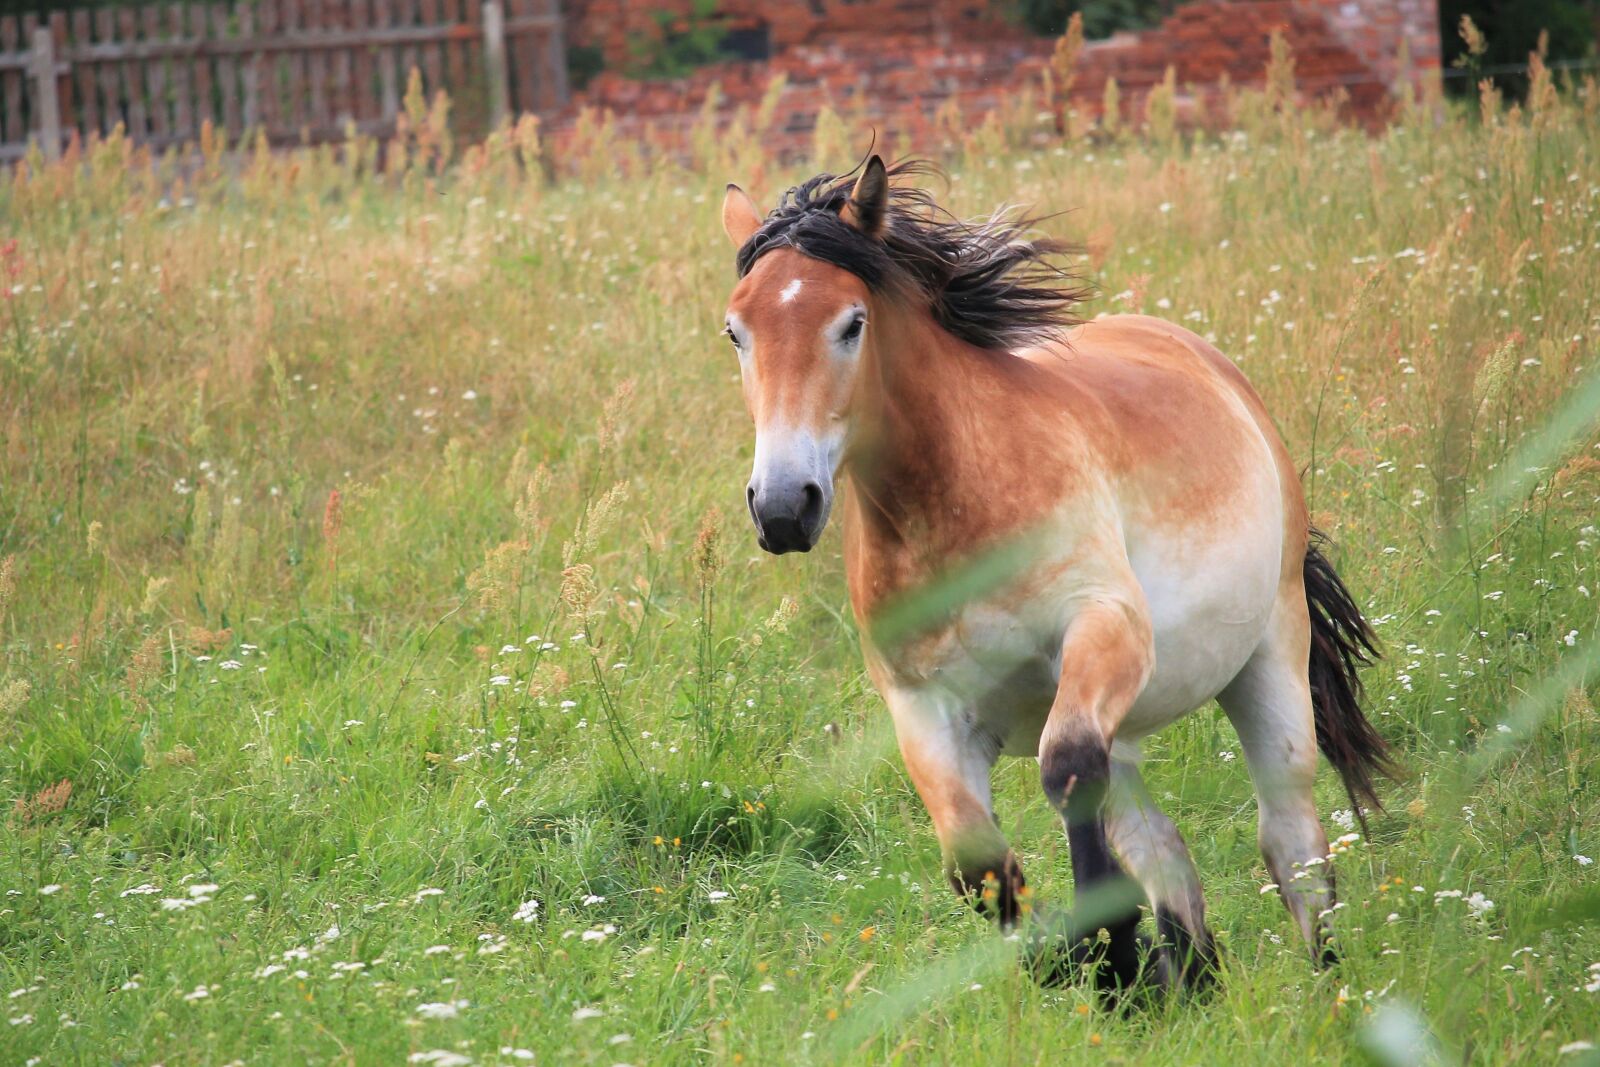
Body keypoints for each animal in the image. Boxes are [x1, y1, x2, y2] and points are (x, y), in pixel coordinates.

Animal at [717, 156, 1392, 993]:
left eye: (851, 322)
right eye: (736, 330)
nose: (783, 505)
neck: (959, 504)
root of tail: (1220, 373)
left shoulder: (1103, 630)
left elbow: (1067, 772)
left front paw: (1111, 952)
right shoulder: (925, 710)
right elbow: (978, 865)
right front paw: (1091, 965)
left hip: (1267, 657)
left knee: (1291, 842)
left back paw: (1327, 982)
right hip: (1125, 721)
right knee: (1163, 844)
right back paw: (1191, 980)